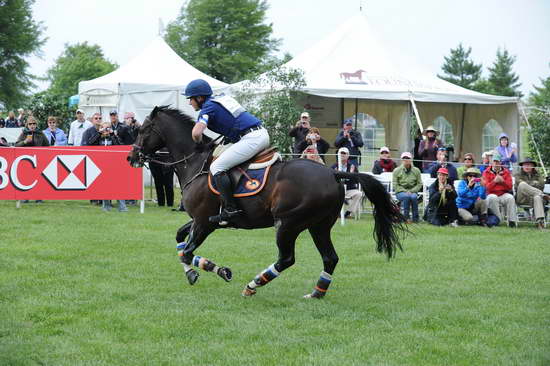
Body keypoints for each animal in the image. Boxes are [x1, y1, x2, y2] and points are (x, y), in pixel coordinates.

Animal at [129, 105, 406, 298]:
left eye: (142, 130)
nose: (131, 157)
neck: (195, 162)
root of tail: (333, 173)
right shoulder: (202, 220)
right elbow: (180, 241)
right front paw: (207, 272)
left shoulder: (204, 222)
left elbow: (187, 253)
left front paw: (207, 271)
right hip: (318, 226)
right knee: (330, 258)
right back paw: (316, 293)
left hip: (288, 223)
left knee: (287, 259)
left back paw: (252, 286)